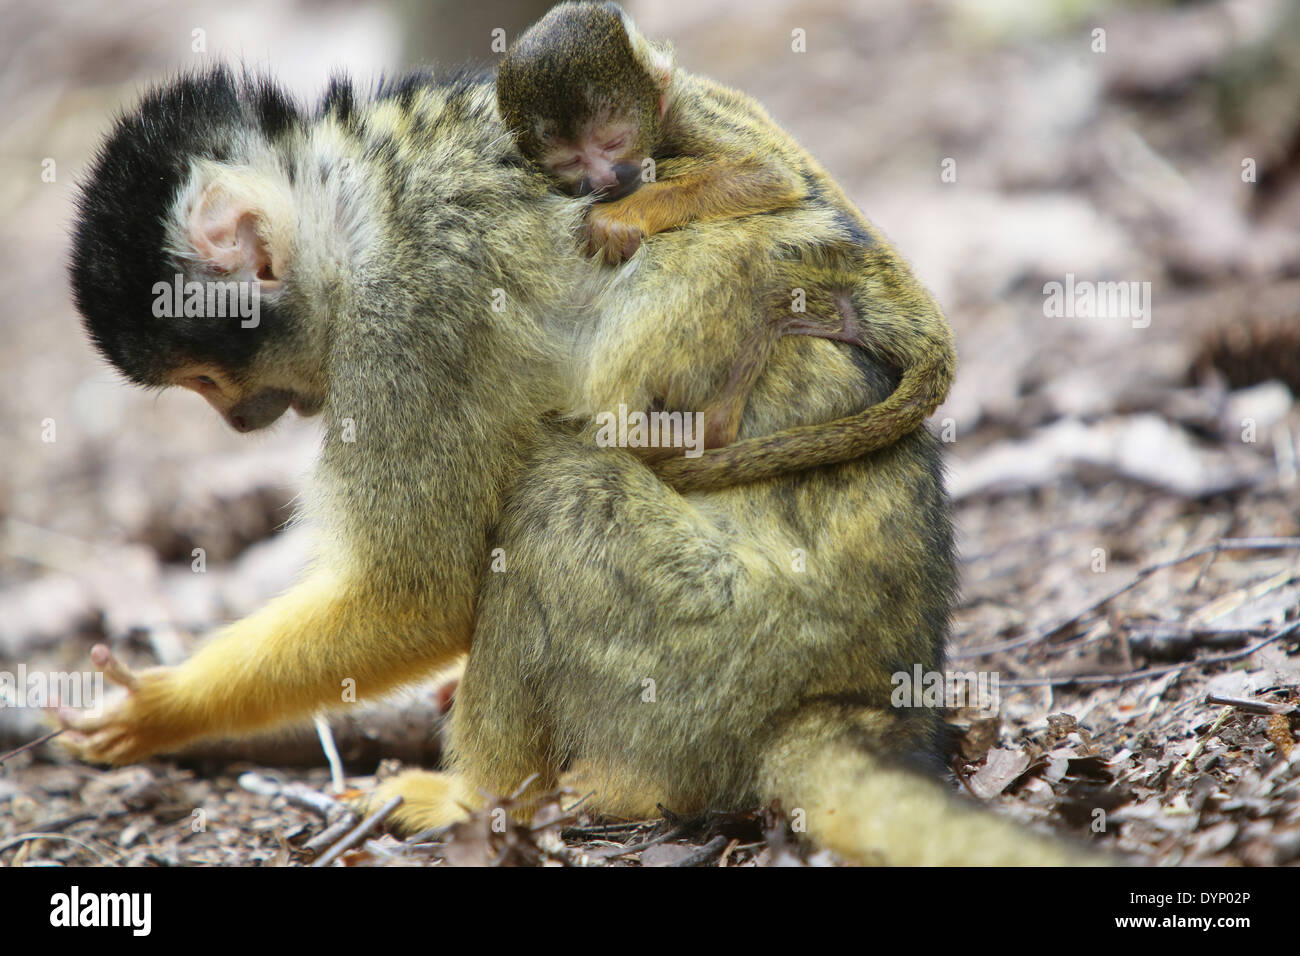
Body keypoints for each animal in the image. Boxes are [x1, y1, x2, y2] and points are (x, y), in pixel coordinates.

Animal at [496, 3, 956, 476]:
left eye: (613, 142)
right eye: (570, 162)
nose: (604, 180)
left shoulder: (685, 115)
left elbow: (769, 176)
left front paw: (622, 217)